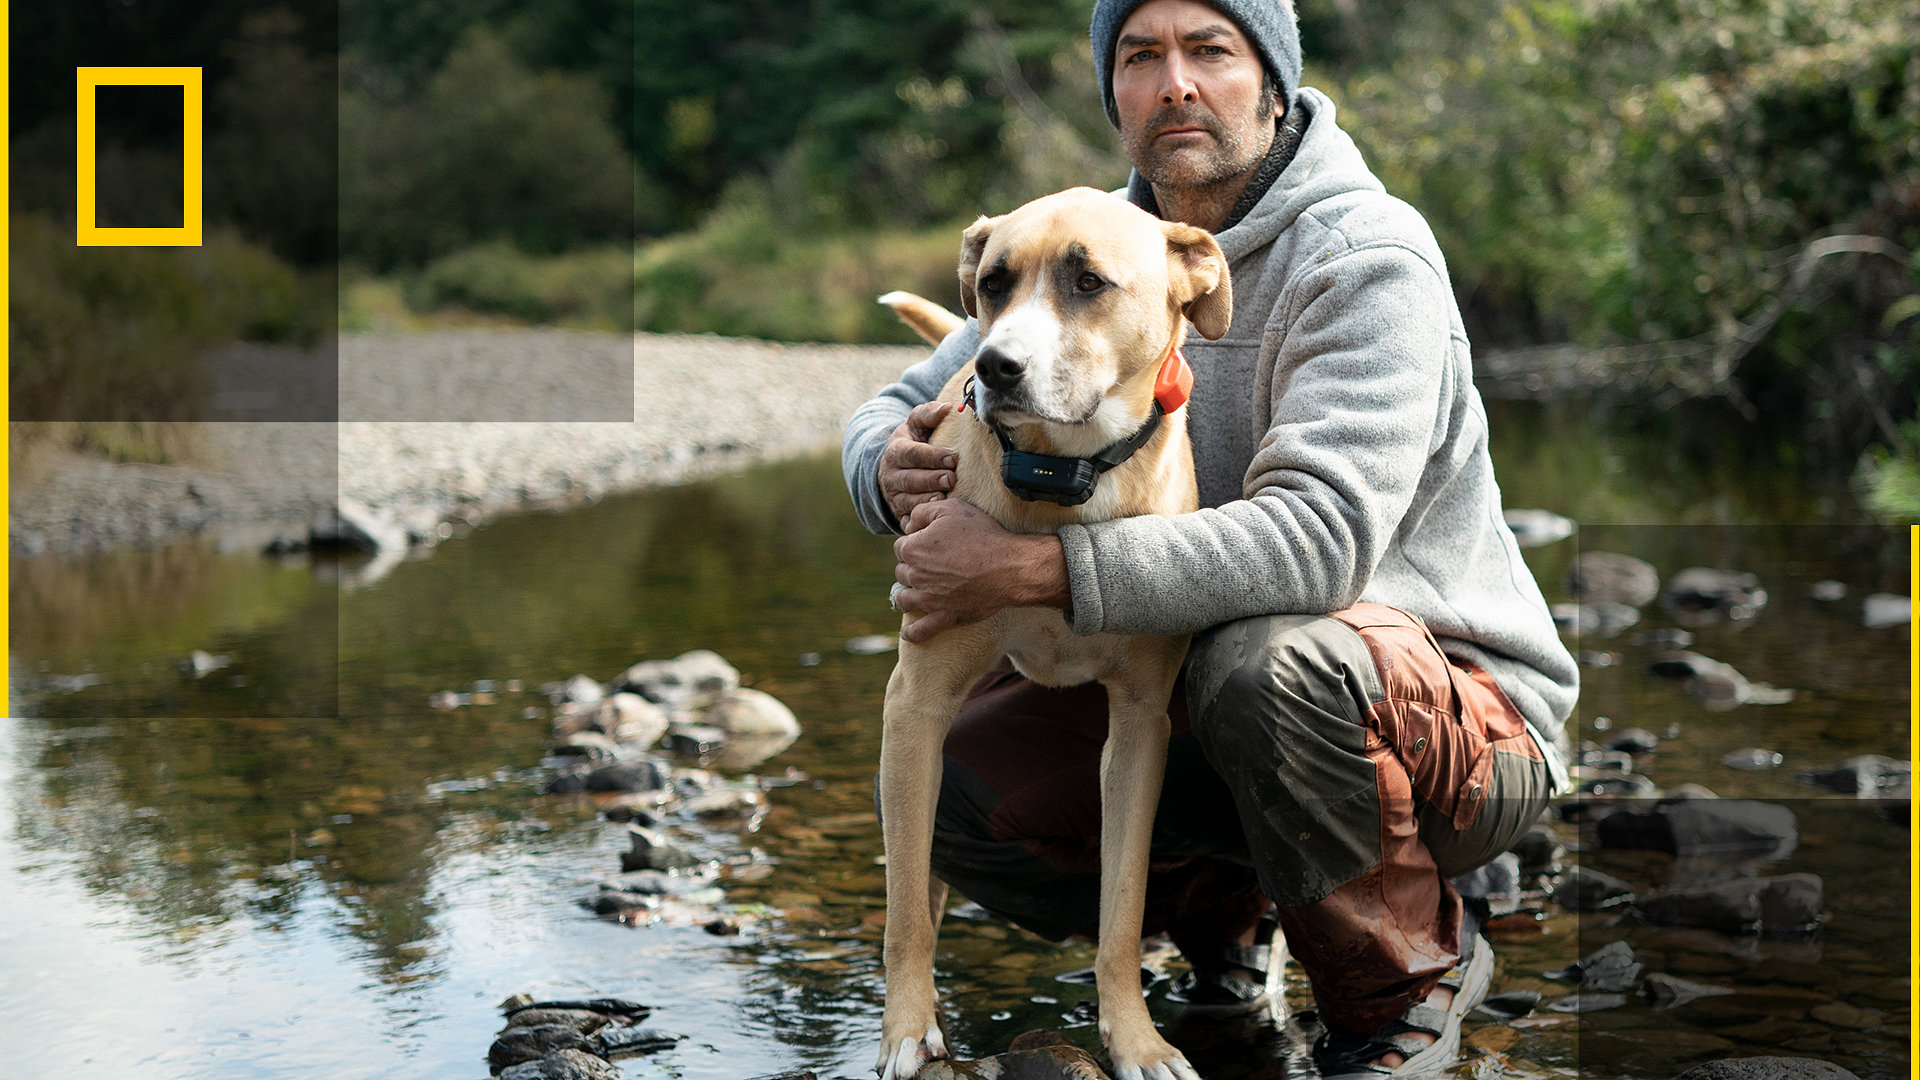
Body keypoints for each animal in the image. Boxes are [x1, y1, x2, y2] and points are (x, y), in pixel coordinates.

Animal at [875, 189, 1228, 1076]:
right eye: (993, 283)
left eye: (1089, 281)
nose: (993, 367)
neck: (1062, 481)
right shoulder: (915, 706)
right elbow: (905, 913)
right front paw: (906, 1028)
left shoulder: (1140, 727)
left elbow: (1124, 909)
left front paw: (1136, 1038)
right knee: (920, 880)